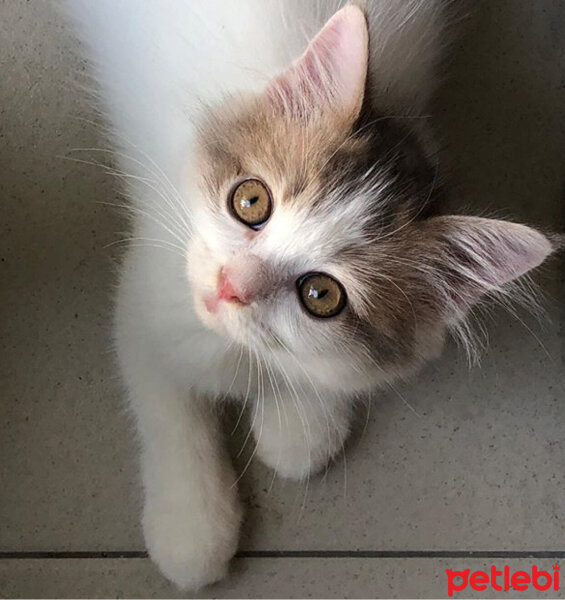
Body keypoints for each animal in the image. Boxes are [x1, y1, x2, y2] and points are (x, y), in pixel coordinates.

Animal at [64, 0, 556, 592]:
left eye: (322, 295)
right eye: (250, 200)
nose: (231, 285)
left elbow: (313, 416)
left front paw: (299, 420)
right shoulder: (150, 290)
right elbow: (170, 412)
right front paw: (192, 528)